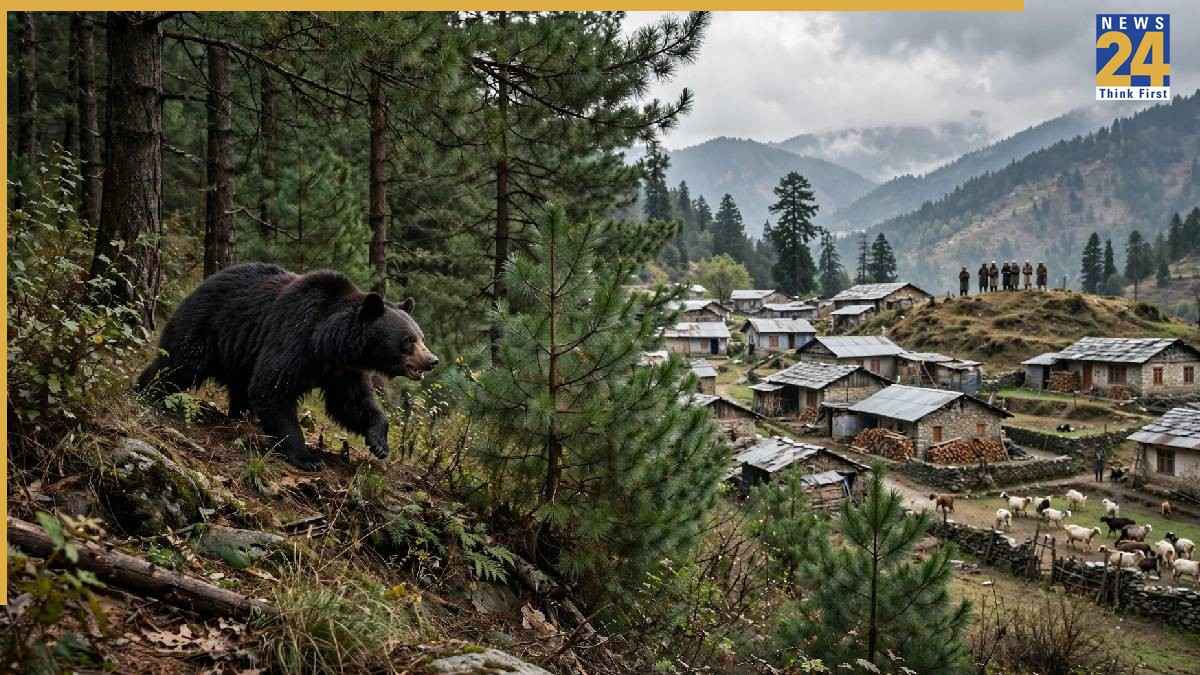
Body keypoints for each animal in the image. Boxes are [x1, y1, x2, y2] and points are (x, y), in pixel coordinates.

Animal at [136, 262, 438, 470]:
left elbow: (352, 403)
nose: (431, 361)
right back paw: (147, 392)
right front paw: (306, 457)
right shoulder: (294, 337)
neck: (327, 343)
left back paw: (240, 416)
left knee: (238, 387)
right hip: (208, 326)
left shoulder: (342, 371)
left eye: (421, 336)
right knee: (179, 363)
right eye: (408, 340)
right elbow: (272, 388)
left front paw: (379, 443)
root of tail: (203, 282)